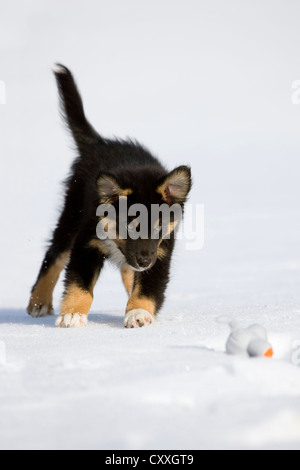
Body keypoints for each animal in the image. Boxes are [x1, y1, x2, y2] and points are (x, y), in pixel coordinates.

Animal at [27, 64, 191, 328]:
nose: (144, 262)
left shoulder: (162, 250)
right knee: (53, 255)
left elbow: (147, 288)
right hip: (72, 213)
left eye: (159, 226)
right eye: (130, 226)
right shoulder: (87, 242)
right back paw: (39, 302)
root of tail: (99, 143)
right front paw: (73, 314)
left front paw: (138, 313)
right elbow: (79, 284)